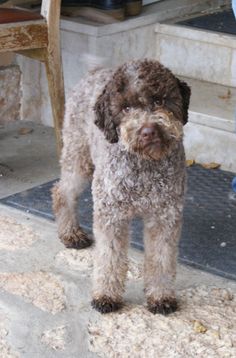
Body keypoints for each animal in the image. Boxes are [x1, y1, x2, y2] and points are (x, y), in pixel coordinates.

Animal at [51, 60, 190, 314]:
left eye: (159, 100)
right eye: (125, 108)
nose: (148, 131)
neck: (144, 165)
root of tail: (95, 70)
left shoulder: (165, 216)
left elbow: (162, 259)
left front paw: (161, 296)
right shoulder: (111, 214)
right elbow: (109, 257)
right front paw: (106, 295)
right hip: (80, 158)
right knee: (61, 192)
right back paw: (70, 233)